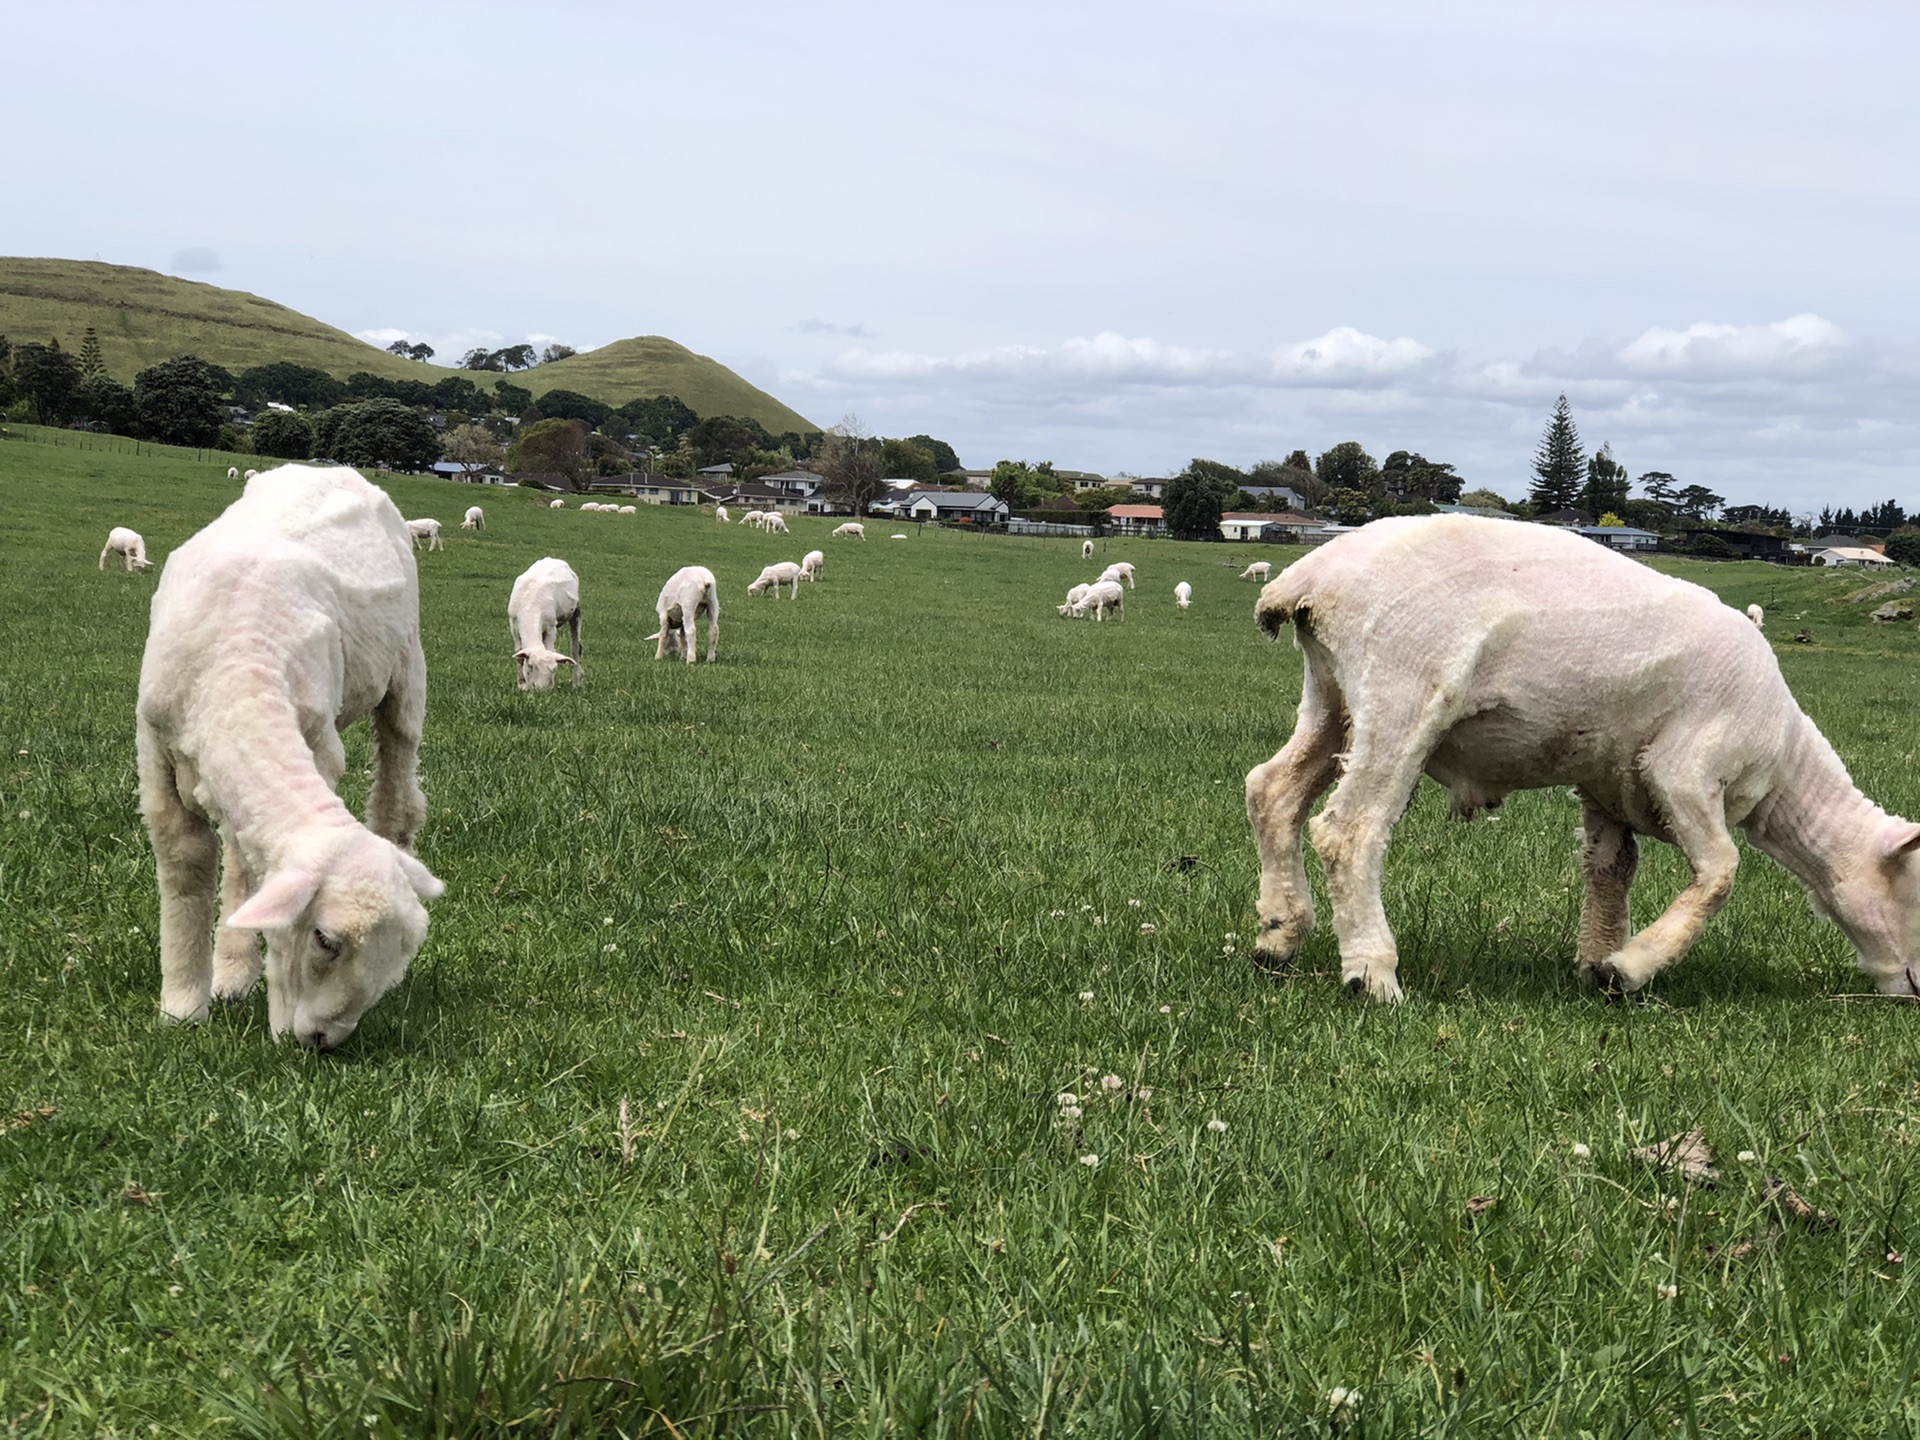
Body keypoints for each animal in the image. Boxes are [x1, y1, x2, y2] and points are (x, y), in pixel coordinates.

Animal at [135, 468, 441, 1052]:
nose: (320, 1041)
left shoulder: (316, 745)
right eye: (324, 939)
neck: (237, 668)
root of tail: (328, 468)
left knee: (398, 777)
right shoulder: (156, 754)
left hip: (406, 666)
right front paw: (183, 1007)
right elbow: (188, 866)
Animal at [506, 556, 579, 695]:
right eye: (530, 666)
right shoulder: (513, 625)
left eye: (555, 669)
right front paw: (522, 685)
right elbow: (519, 655)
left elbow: (550, 648)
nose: (541, 691)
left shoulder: (551, 627)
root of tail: (553, 559)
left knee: (577, 648)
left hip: (576, 611)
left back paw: (578, 682)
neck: (531, 608)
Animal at [1244, 514, 1920, 1006]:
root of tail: (1310, 578)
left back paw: (1277, 936)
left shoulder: (1608, 781)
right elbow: (1721, 873)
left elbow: (1611, 868)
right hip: (1402, 689)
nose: (1914, 994)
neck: (1782, 773)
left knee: (1271, 791)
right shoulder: (1685, 768)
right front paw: (1632, 968)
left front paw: (1598, 962)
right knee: (1349, 830)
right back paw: (1372, 974)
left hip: (1333, 693)